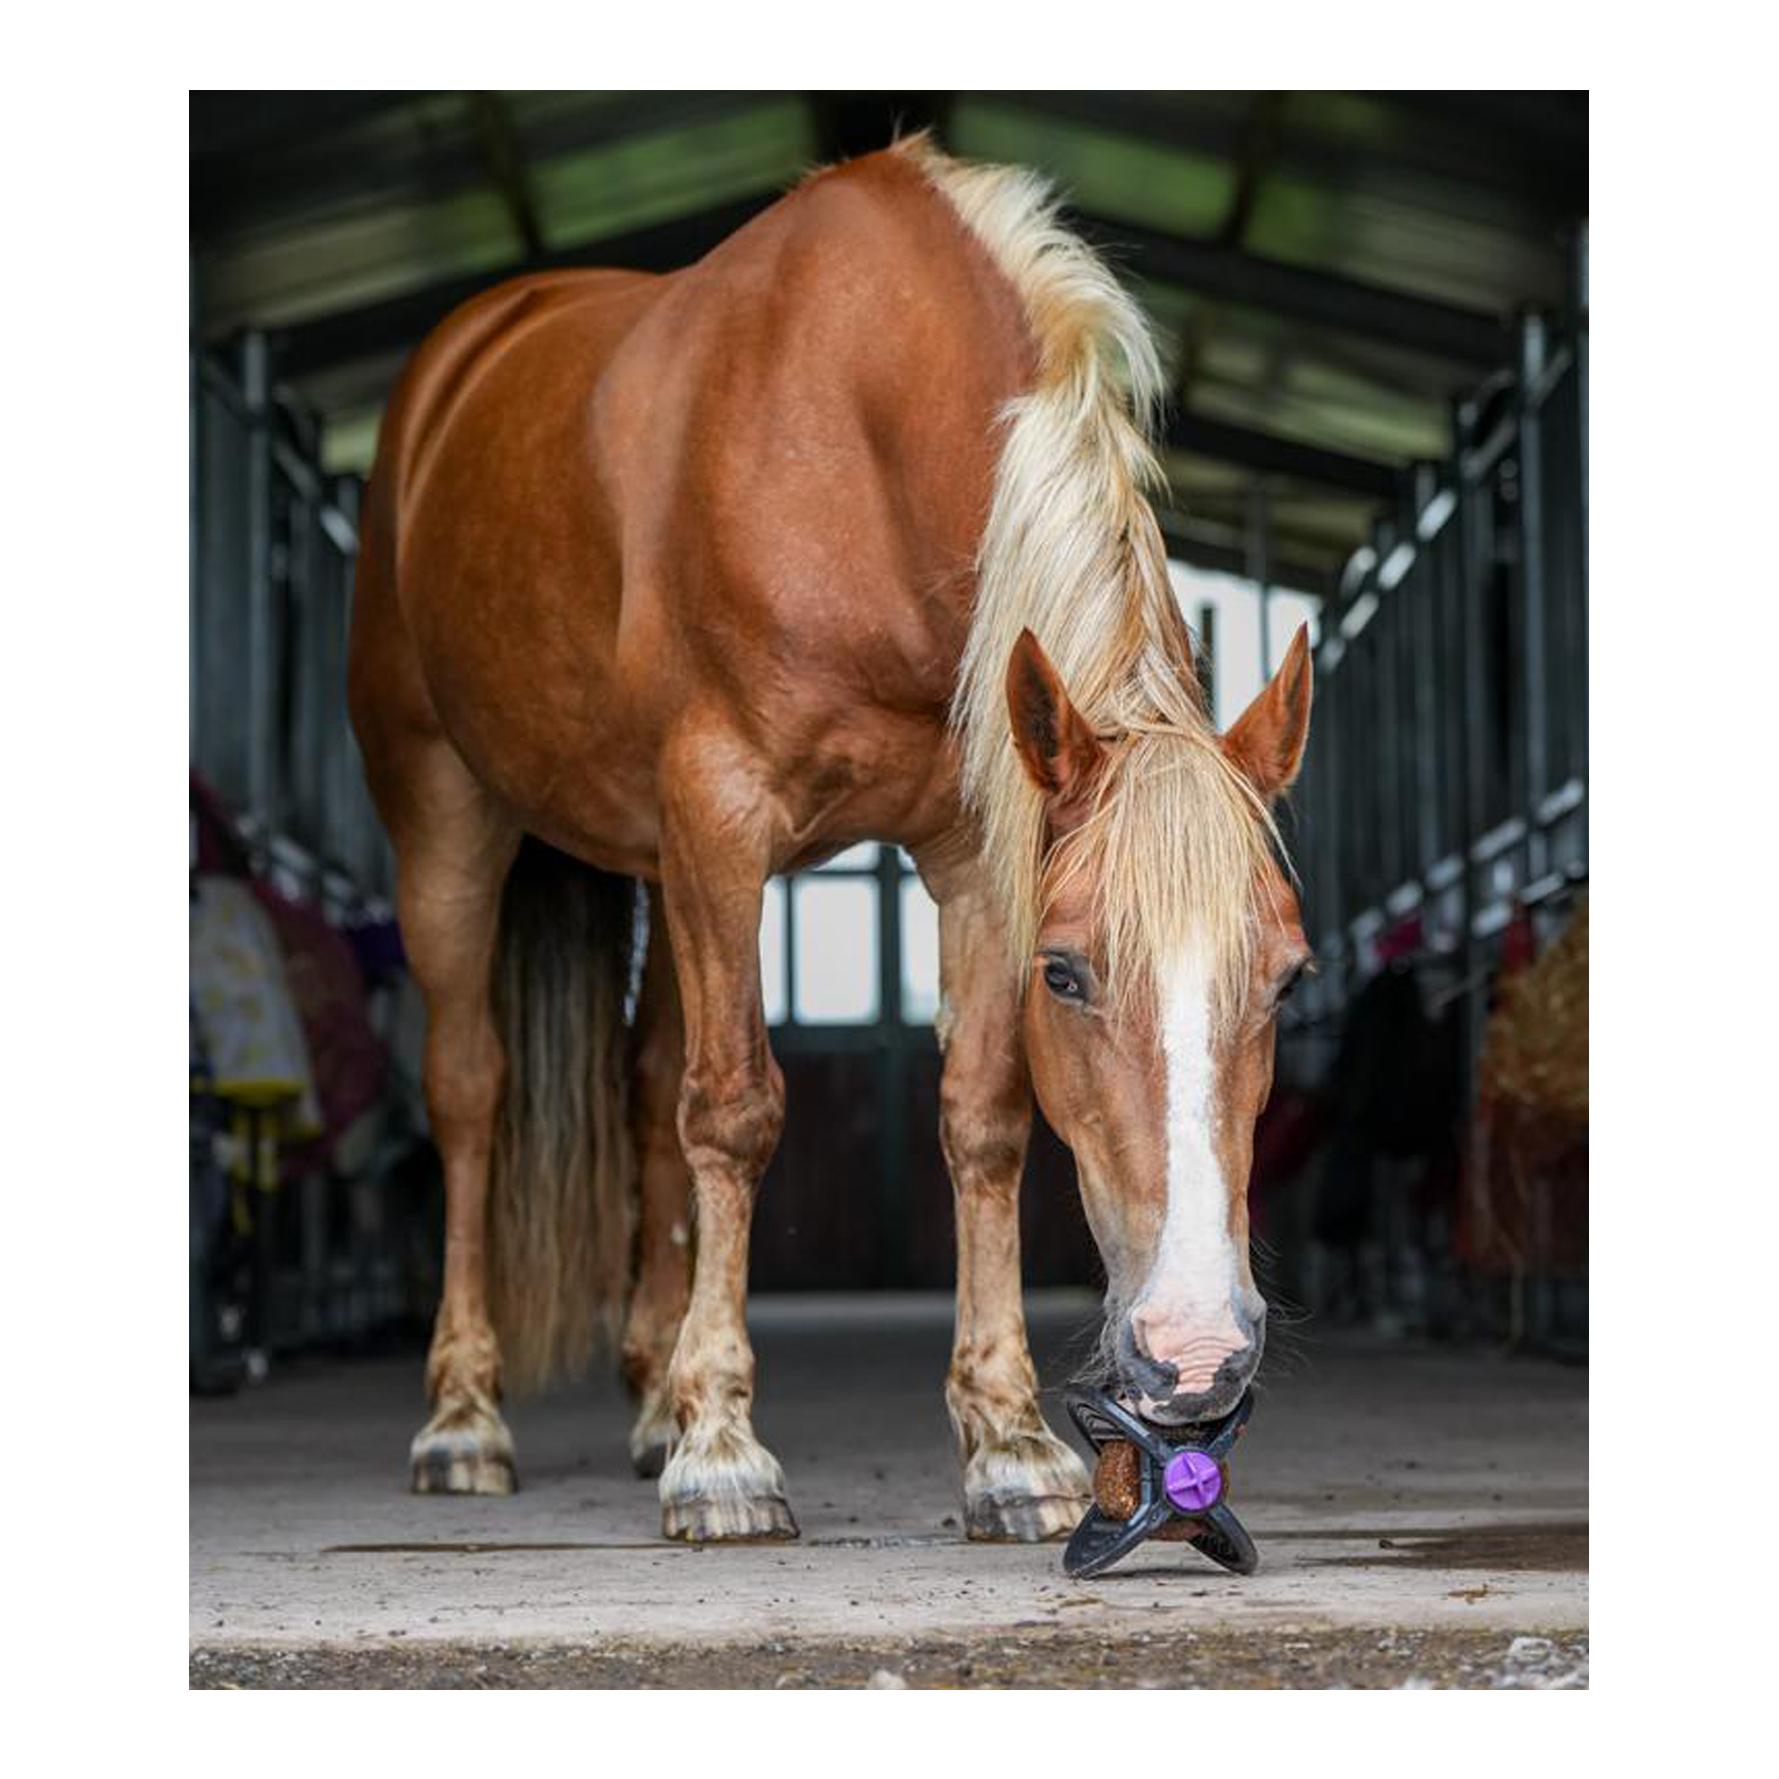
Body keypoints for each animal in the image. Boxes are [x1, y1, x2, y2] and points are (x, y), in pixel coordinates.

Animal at [347, 135, 1313, 1544]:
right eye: (1069, 974)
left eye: (1288, 980)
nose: (1196, 1355)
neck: (859, 439)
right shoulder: (721, 814)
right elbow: (737, 1109)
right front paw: (724, 1457)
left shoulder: (972, 848)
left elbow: (979, 1121)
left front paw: (1009, 1444)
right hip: (449, 821)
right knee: (471, 1093)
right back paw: (465, 1420)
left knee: (646, 1083)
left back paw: (651, 1398)